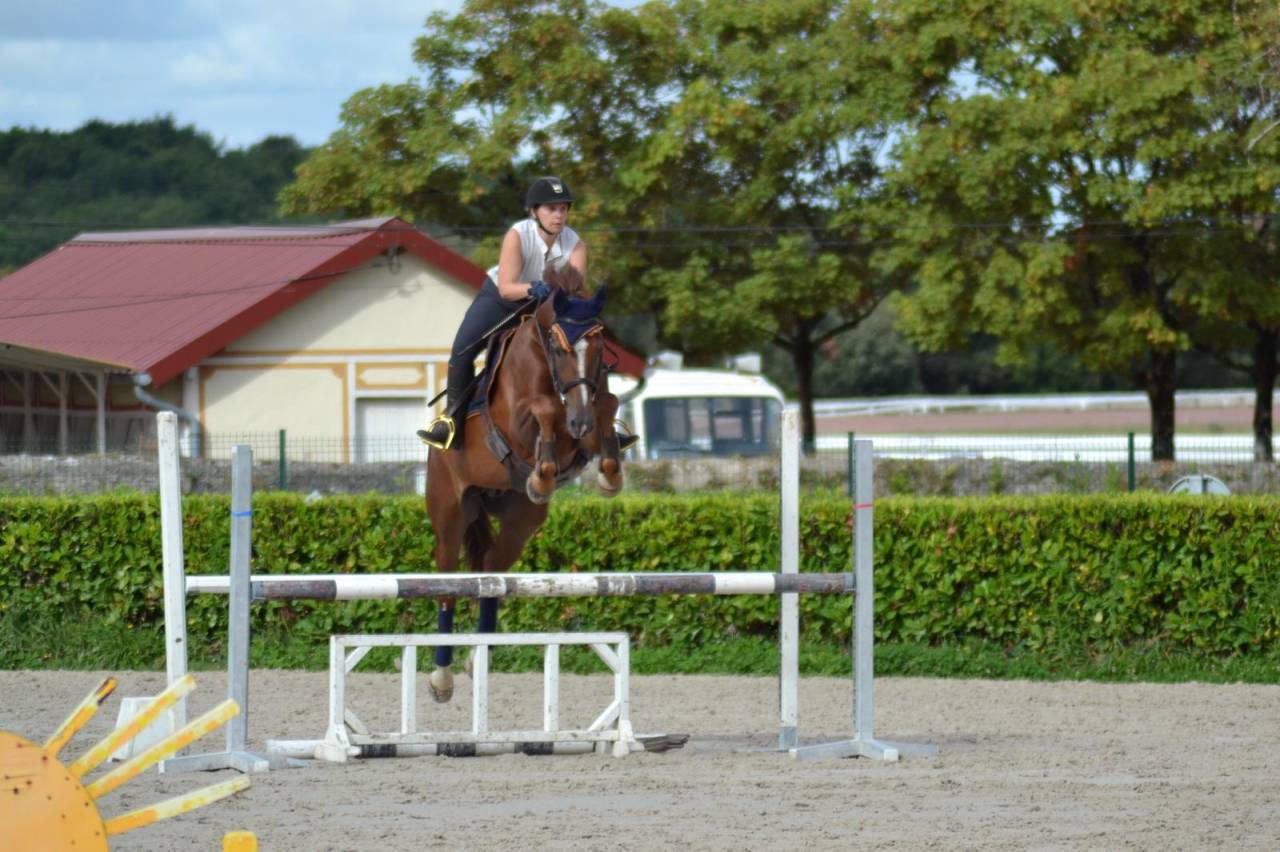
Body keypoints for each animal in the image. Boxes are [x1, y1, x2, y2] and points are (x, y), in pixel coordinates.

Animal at [424, 282, 625, 702]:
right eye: (560, 349)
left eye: (599, 350)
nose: (580, 421)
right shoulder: (518, 422)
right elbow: (547, 408)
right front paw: (546, 471)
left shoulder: (586, 421)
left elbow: (607, 404)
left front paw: (608, 474)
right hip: (449, 513)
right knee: (446, 585)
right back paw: (441, 677)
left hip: (520, 523)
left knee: (490, 573)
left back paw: (478, 657)